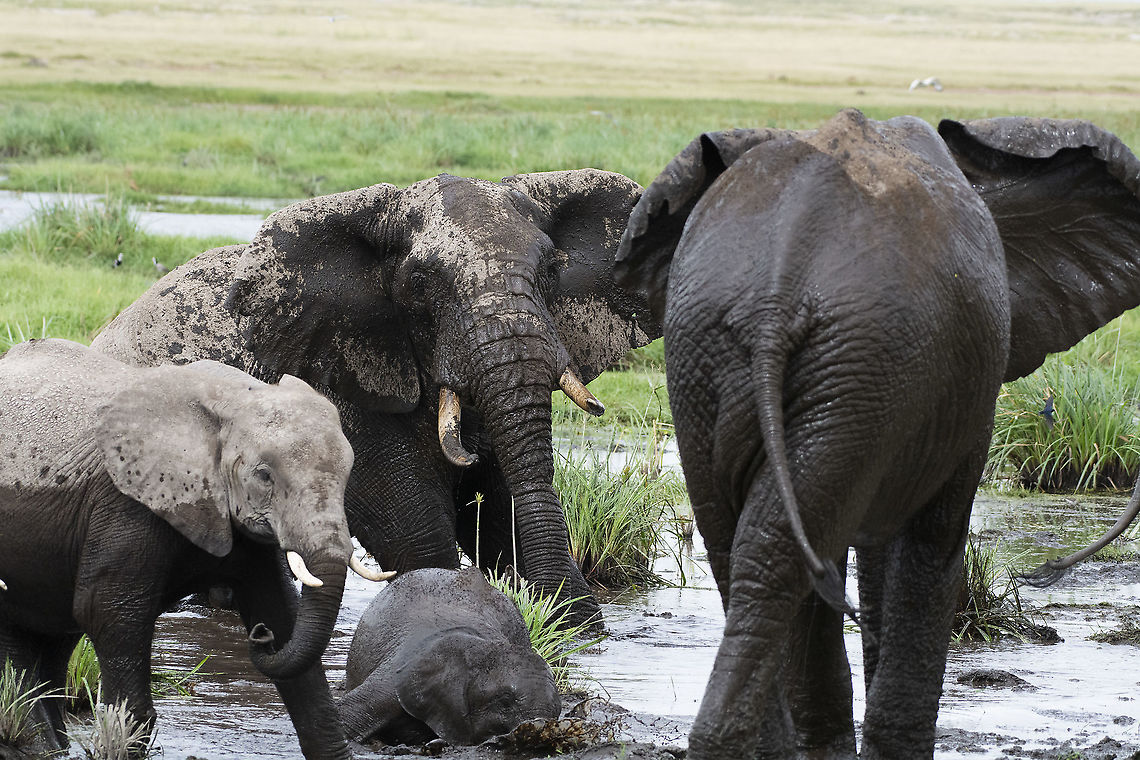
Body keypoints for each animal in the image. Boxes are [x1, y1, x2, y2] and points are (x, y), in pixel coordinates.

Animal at [0, 338, 391, 759]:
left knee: (53, 637)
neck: (232, 400)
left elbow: (282, 615)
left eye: (347, 473)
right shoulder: (125, 504)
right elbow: (107, 612)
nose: (259, 637)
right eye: (264, 475)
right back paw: (38, 743)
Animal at [90, 169, 660, 627]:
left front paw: (573, 626)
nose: (581, 616)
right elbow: (414, 530)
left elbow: (498, 515)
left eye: (550, 271)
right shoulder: (328, 373)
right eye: (421, 283)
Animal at [613, 108, 1140, 759]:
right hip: (861, 355)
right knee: (784, 549)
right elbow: (932, 540)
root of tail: (780, 281)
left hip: (720, 355)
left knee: (749, 548)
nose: (1043, 572)